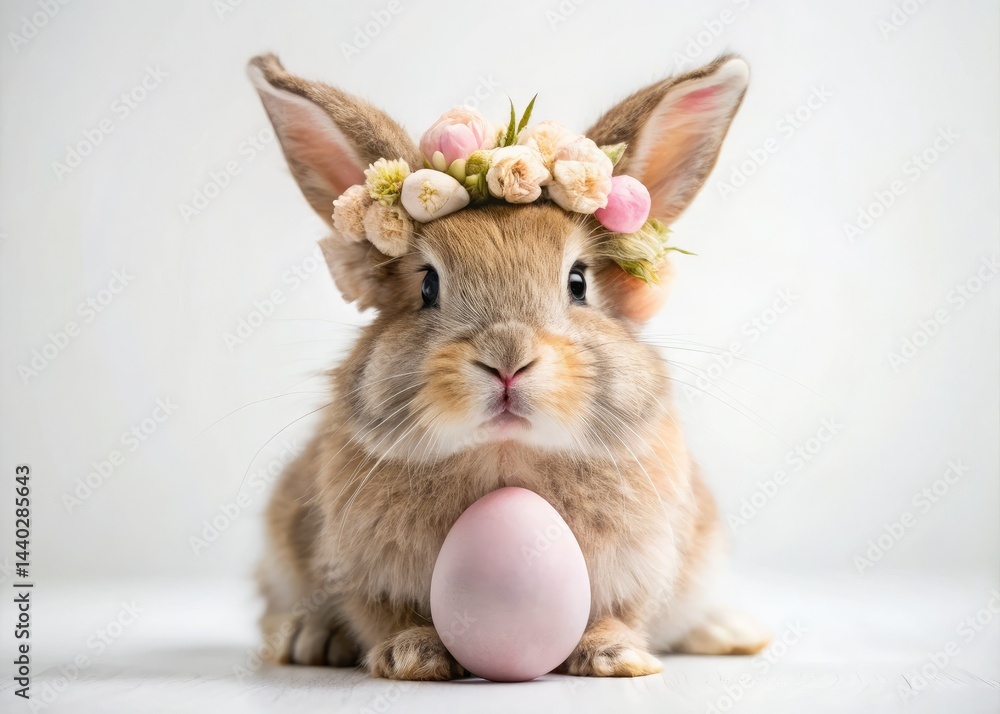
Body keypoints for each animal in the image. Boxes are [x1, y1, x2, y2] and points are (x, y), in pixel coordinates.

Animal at [247, 51, 770, 680]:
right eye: (428, 285)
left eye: (578, 283)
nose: (507, 359)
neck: (505, 458)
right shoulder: (362, 573)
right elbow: (384, 615)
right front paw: (411, 655)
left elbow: (618, 613)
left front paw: (615, 656)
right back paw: (310, 639)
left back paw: (730, 632)